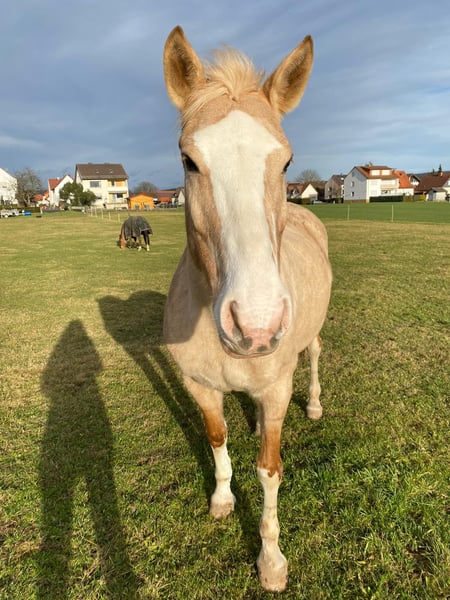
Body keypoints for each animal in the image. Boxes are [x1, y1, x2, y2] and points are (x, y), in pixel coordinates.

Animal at [162, 26, 332, 592]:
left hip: (308, 339)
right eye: (189, 160)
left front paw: (271, 560)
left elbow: (269, 470)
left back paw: (315, 404)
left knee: (315, 355)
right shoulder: (199, 386)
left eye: (286, 161)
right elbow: (217, 437)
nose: (255, 326)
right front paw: (221, 499)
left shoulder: (278, 389)